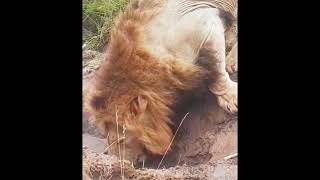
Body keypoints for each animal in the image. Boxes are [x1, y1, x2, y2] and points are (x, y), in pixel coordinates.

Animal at [84, 0, 238, 165]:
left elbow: (216, 69)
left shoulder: (205, 22)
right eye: (107, 139)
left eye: (121, 140)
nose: (119, 163)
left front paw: (230, 97)